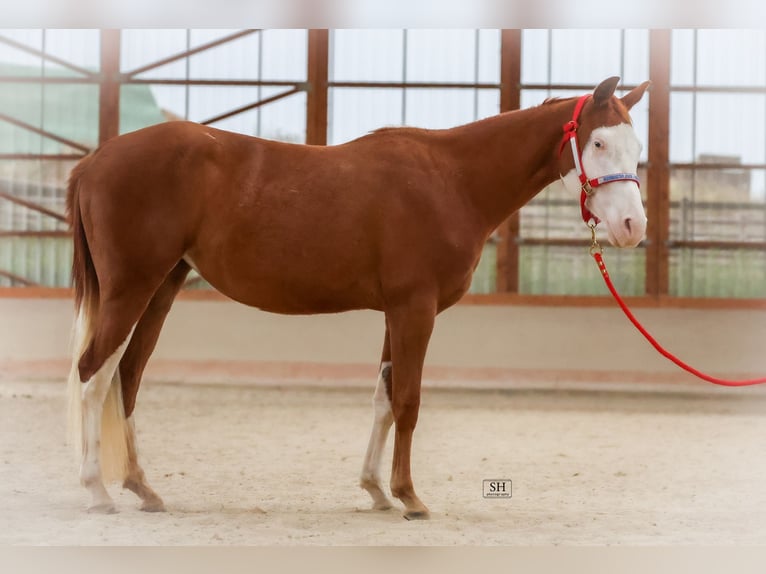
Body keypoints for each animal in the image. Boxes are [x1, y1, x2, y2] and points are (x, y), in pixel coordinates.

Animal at [66, 76, 650, 520]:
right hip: (131, 288)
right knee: (93, 374)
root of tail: (95, 161)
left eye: (637, 148)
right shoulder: (415, 309)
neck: (451, 180)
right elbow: (408, 400)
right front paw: (410, 497)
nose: (632, 227)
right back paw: (96, 490)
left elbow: (383, 398)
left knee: (127, 378)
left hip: (161, 288)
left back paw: (143, 488)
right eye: (599, 143)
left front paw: (375, 490)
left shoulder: (396, 312)